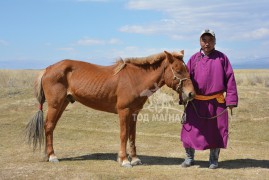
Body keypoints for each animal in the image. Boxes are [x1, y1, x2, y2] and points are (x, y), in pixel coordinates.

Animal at [25, 50, 195, 167]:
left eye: (187, 69)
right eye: (178, 70)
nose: (191, 93)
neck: (135, 79)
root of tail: (47, 69)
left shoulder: (134, 113)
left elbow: (132, 136)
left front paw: (134, 159)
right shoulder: (124, 111)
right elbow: (123, 135)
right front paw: (124, 160)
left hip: (62, 104)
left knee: (50, 127)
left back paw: (48, 155)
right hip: (55, 104)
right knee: (48, 126)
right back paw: (52, 156)